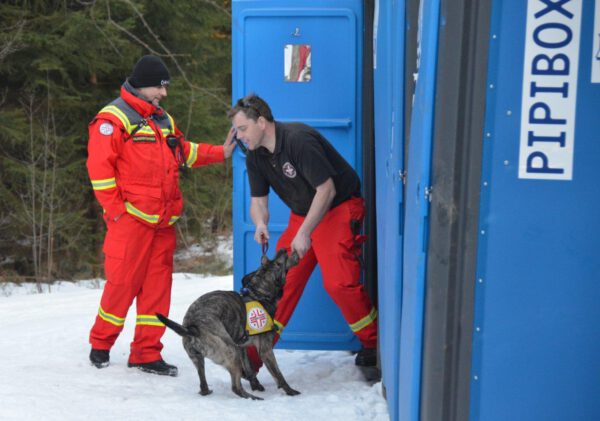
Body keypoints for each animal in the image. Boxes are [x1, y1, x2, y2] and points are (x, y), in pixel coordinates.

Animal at [156, 248, 300, 398]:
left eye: (270, 260)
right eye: (278, 263)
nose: (283, 249)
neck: (259, 295)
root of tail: (192, 327)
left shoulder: (243, 348)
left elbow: (249, 368)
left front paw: (256, 385)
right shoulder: (265, 350)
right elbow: (278, 375)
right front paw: (290, 391)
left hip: (199, 358)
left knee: (203, 384)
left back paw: (208, 391)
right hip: (232, 350)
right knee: (236, 388)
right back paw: (252, 398)